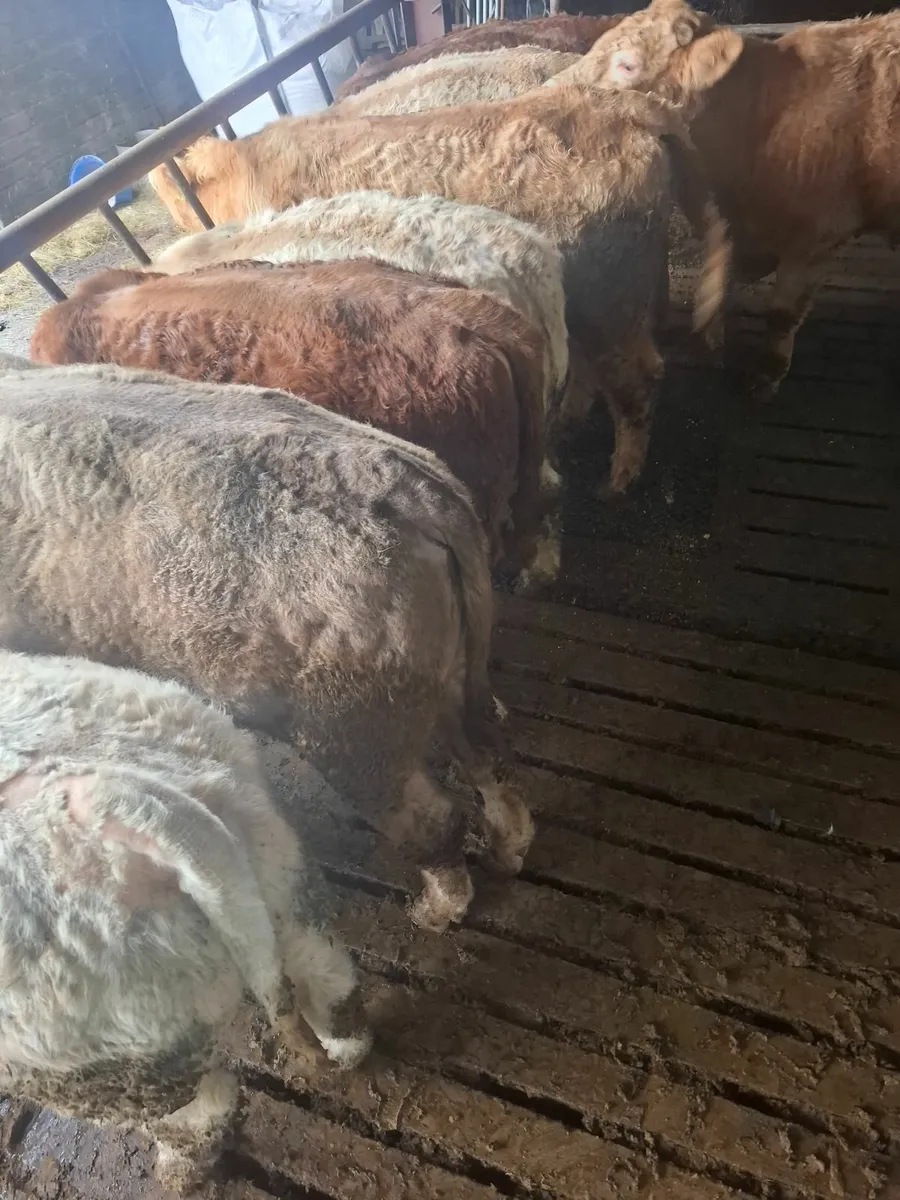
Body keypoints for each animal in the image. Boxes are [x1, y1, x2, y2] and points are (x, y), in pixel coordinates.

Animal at [0, 356, 533, 938]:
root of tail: (423, 490)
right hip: (446, 671)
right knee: (489, 749)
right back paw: (508, 851)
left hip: (353, 719)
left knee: (431, 816)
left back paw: (435, 911)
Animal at [0, 648, 369, 1193]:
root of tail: (109, 802)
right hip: (269, 854)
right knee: (326, 975)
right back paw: (347, 1052)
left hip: (107, 1052)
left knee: (200, 1108)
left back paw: (177, 1175)